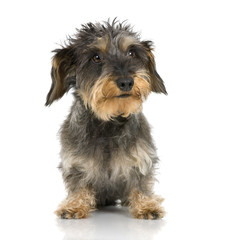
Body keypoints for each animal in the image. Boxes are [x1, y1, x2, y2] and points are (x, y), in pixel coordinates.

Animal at [46, 19, 167, 220]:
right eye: (96, 57)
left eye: (132, 53)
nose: (126, 82)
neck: (109, 122)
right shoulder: (75, 163)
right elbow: (79, 184)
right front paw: (75, 205)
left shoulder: (141, 158)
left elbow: (141, 182)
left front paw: (146, 205)